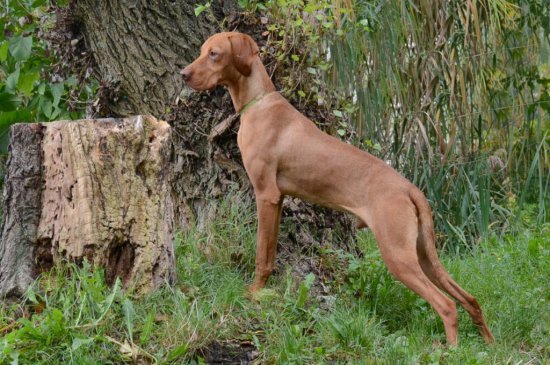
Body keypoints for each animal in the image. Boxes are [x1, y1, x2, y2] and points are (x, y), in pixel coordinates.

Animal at [181, 32, 496, 344]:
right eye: (202, 51)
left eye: (214, 53)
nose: (183, 74)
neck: (258, 103)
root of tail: (409, 188)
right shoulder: (278, 199)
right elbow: (270, 253)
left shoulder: (266, 195)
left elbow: (262, 255)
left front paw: (255, 293)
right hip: (423, 254)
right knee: (470, 300)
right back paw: (488, 343)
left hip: (398, 256)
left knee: (447, 305)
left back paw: (449, 349)